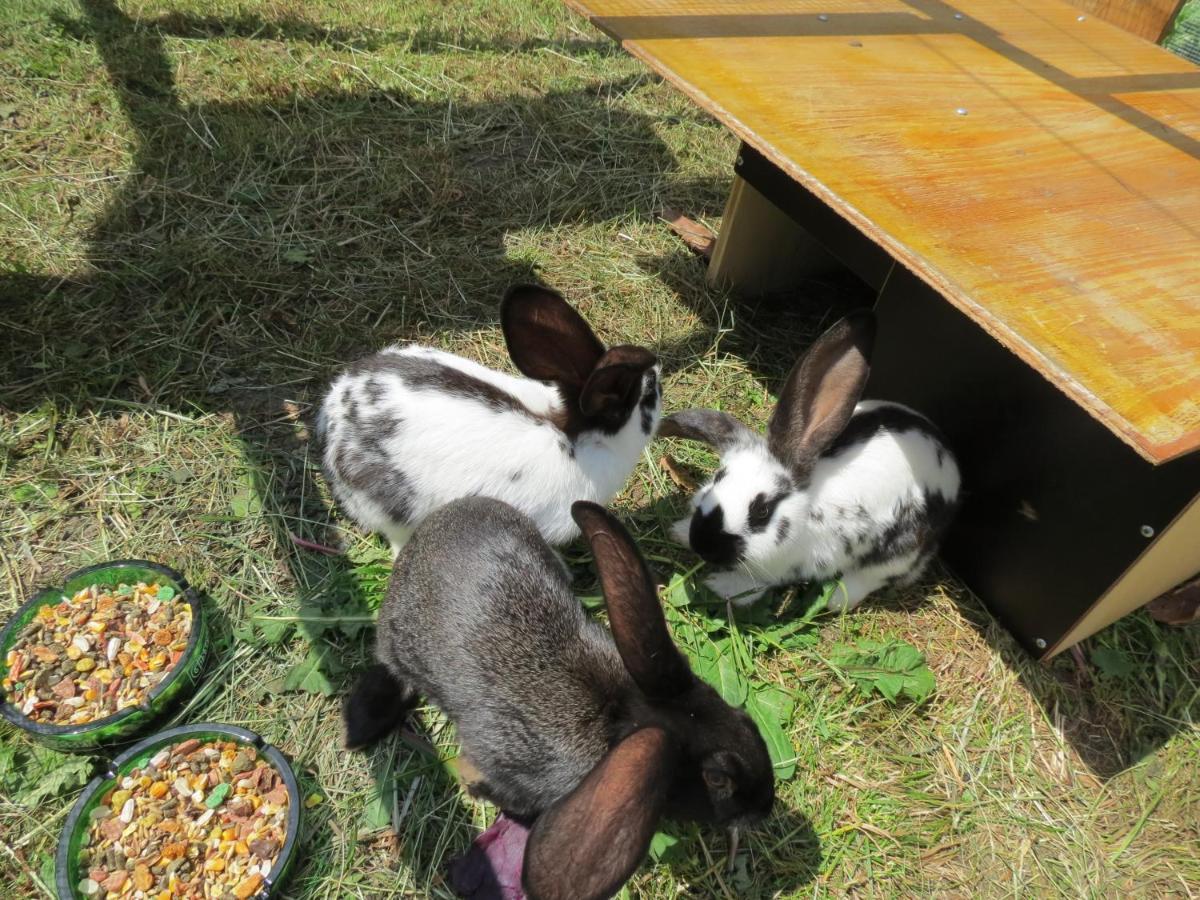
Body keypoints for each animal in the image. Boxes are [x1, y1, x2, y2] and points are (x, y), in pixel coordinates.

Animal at [345, 496, 777, 897]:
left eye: (746, 719)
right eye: (718, 779)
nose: (766, 807)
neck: (614, 714)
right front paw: (480, 791)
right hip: (402, 645)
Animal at [662, 309, 960, 614]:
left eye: (762, 511)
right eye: (718, 478)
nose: (703, 544)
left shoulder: (780, 567)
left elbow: (753, 585)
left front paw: (719, 586)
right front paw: (679, 531)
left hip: (900, 548)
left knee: (871, 577)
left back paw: (837, 599)